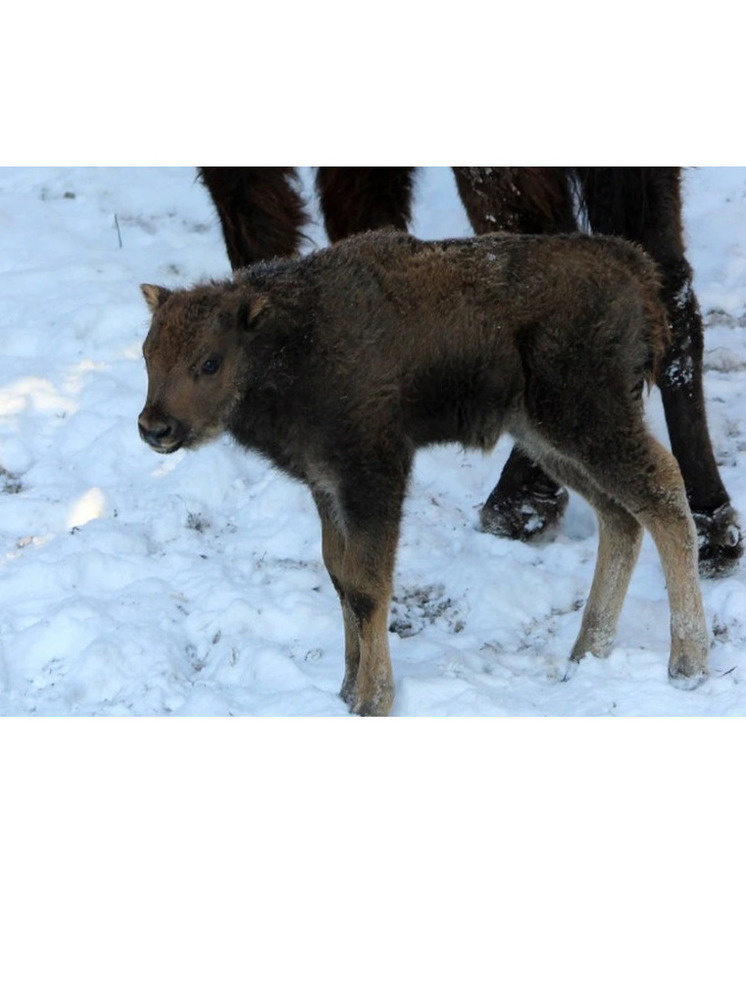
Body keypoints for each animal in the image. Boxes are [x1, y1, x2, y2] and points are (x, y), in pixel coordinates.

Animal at [138, 230, 704, 716]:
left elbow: (368, 587)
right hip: (549, 438)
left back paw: (687, 664)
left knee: (663, 494)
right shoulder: (327, 484)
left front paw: (372, 701)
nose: (154, 427)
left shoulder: (373, 474)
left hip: (588, 419)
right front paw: (346, 690)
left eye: (209, 362)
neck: (292, 340)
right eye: (147, 353)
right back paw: (587, 651)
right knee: (621, 517)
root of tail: (634, 267)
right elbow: (341, 578)